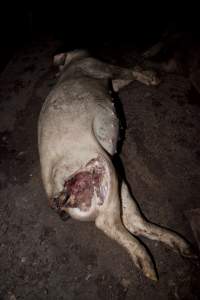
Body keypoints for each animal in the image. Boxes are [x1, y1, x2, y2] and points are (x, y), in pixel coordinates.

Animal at [38, 49, 195, 282]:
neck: (74, 63)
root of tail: (58, 195)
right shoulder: (100, 67)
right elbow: (126, 71)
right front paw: (152, 78)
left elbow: (121, 81)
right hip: (102, 168)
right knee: (110, 223)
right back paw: (151, 268)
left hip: (115, 183)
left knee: (134, 223)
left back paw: (181, 250)